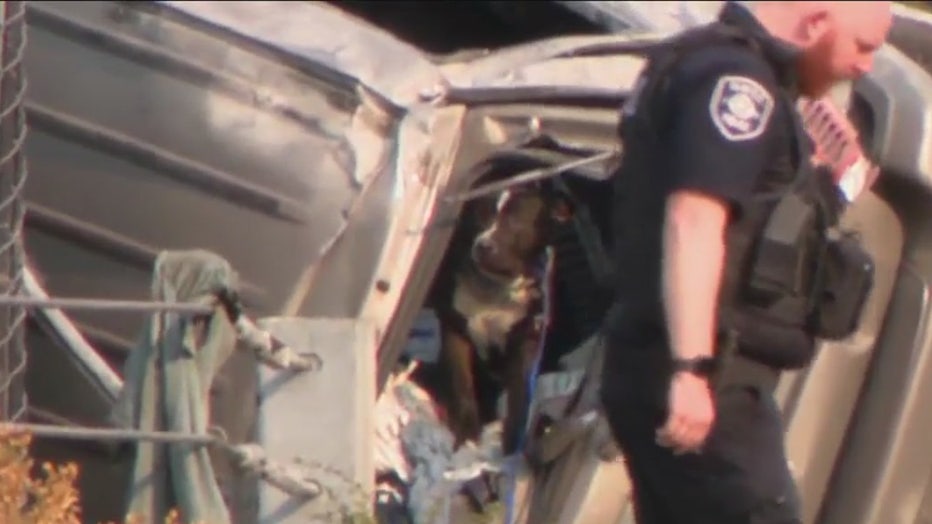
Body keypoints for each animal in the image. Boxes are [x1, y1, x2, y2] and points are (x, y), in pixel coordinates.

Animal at [426, 181, 572, 454]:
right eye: (481, 214)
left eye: (516, 220)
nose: (483, 245)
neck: (495, 289)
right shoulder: (455, 331)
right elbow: (462, 387)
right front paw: (466, 432)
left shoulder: (526, 345)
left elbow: (519, 402)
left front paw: (510, 448)